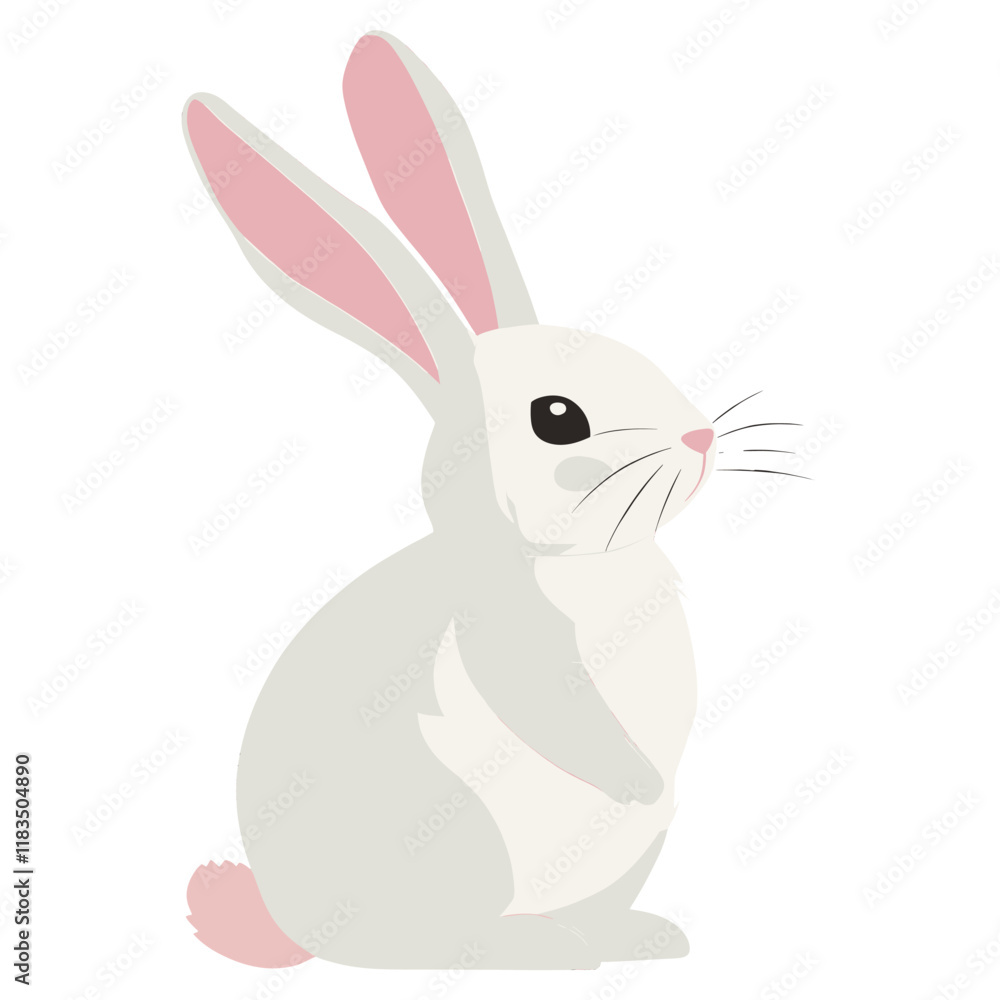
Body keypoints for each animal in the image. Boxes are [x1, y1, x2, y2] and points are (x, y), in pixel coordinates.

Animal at [183, 30, 718, 971]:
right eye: (557, 418)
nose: (703, 440)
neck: (582, 566)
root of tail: (294, 925)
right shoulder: (513, 634)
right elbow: (552, 707)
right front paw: (635, 777)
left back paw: (633, 936)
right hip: (460, 834)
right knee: (435, 943)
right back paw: (537, 948)